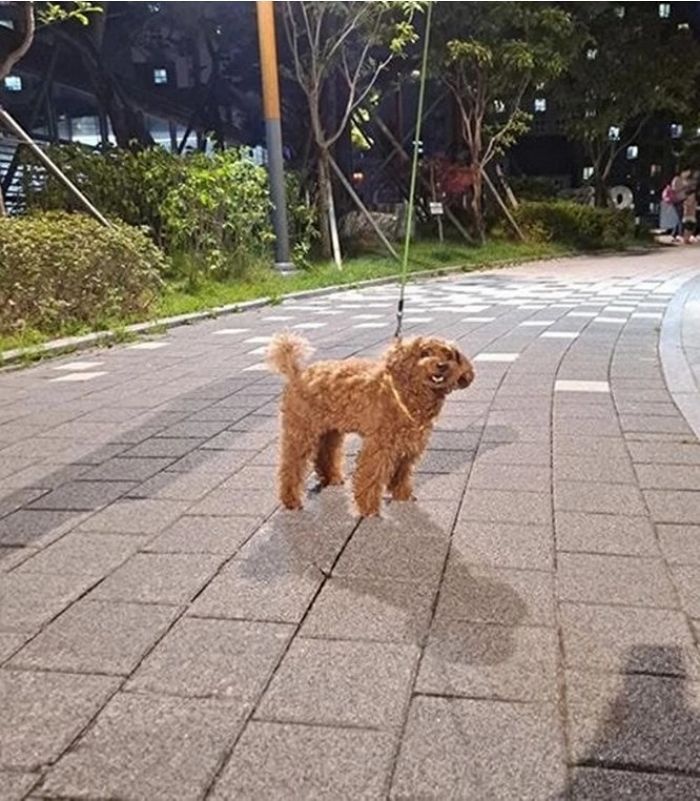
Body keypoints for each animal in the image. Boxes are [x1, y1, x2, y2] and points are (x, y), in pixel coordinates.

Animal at [268, 332, 476, 516]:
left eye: (448, 355)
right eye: (425, 353)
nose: (442, 365)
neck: (407, 394)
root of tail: (297, 373)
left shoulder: (408, 445)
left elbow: (402, 473)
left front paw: (403, 497)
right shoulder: (379, 445)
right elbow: (371, 475)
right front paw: (369, 511)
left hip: (330, 429)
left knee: (326, 454)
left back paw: (333, 479)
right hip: (301, 429)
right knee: (290, 466)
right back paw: (292, 501)